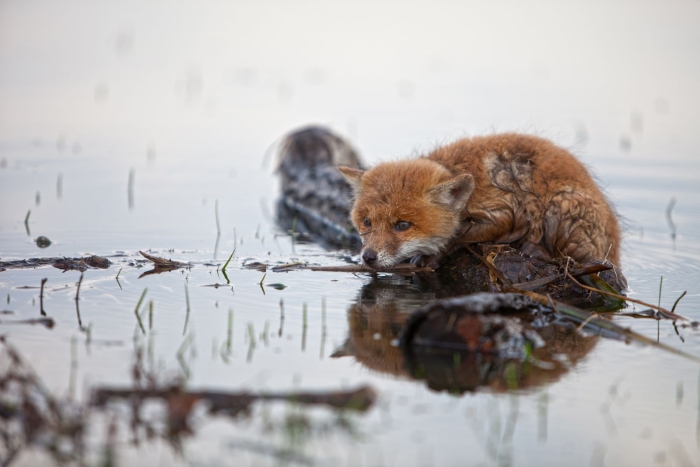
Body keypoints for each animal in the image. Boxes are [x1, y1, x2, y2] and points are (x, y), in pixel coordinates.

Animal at [338, 133, 621, 269]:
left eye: (402, 225)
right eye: (366, 222)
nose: (368, 257)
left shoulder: (505, 213)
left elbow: (458, 237)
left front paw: (433, 256)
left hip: (560, 210)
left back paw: (536, 250)